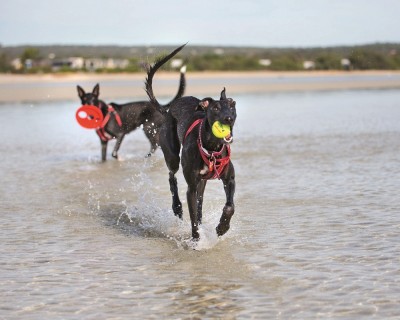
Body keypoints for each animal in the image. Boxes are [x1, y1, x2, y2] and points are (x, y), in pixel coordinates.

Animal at [145, 45, 236, 240]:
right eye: (215, 108)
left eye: (232, 105)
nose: (229, 119)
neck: (212, 148)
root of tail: (168, 110)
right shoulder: (191, 188)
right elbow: (193, 218)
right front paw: (196, 240)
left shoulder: (229, 179)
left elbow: (229, 206)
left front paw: (222, 227)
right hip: (172, 155)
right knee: (172, 177)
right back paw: (177, 207)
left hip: (202, 182)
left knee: (199, 203)